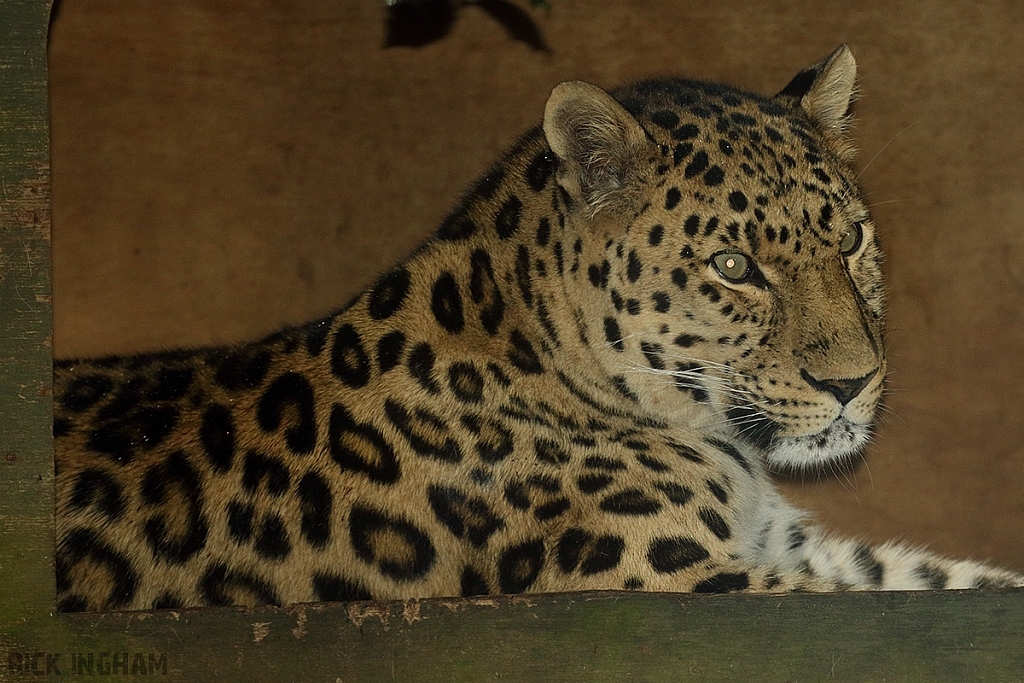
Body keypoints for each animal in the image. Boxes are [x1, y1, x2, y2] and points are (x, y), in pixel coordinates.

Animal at [56, 48, 1024, 614]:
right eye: (733, 266)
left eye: (850, 239)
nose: (851, 382)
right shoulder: (684, 580)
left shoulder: (796, 551)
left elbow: (951, 580)